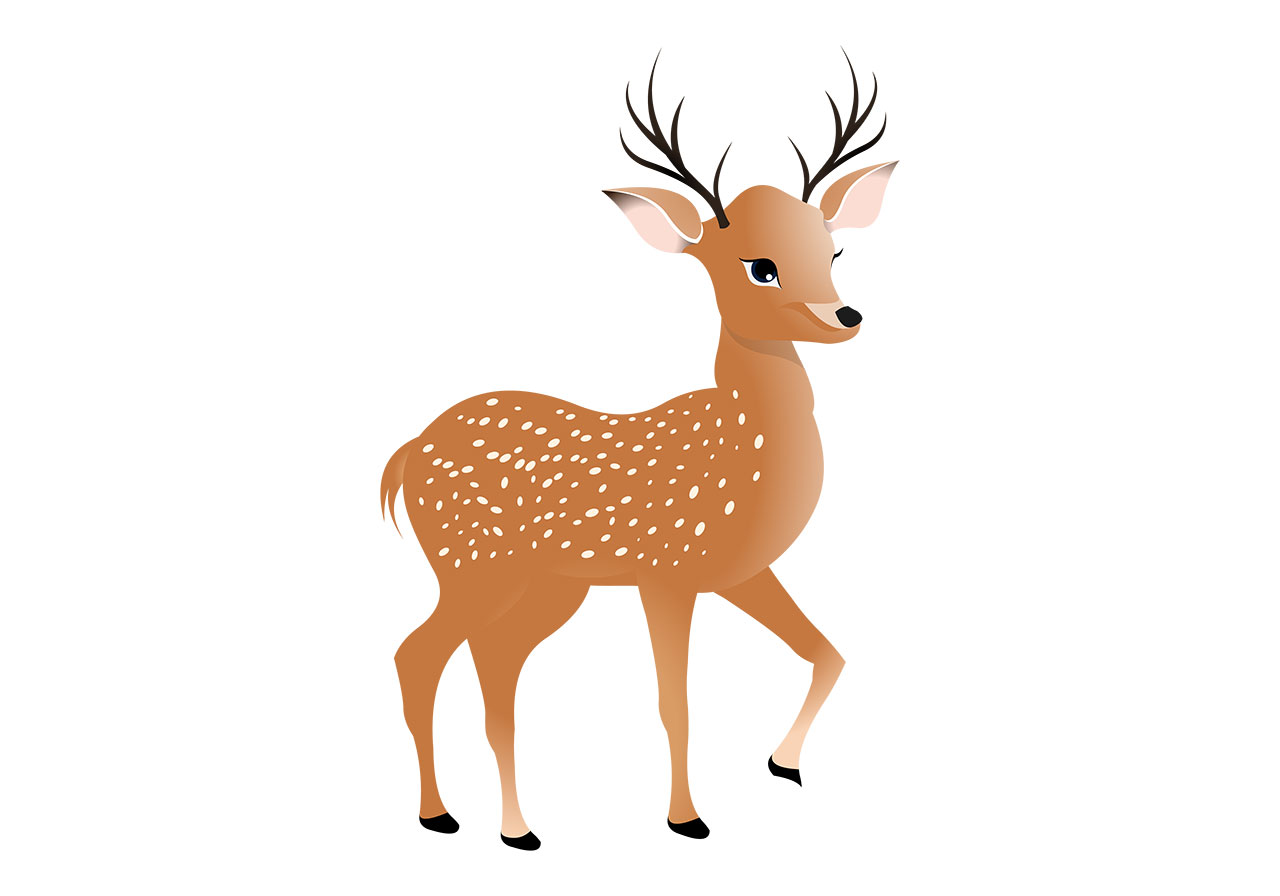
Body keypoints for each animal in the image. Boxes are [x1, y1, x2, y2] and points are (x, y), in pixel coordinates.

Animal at [381, 52, 897, 850]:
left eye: (834, 247)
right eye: (760, 266)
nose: (845, 315)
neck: (737, 446)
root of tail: (410, 448)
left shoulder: (743, 573)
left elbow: (829, 652)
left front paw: (782, 763)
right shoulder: (666, 572)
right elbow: (673, 702)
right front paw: (687, 819)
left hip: (546, 585)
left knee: (492, 669)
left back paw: (508, 827)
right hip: (474, 562)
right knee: (418, 655)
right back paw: (445, 816)